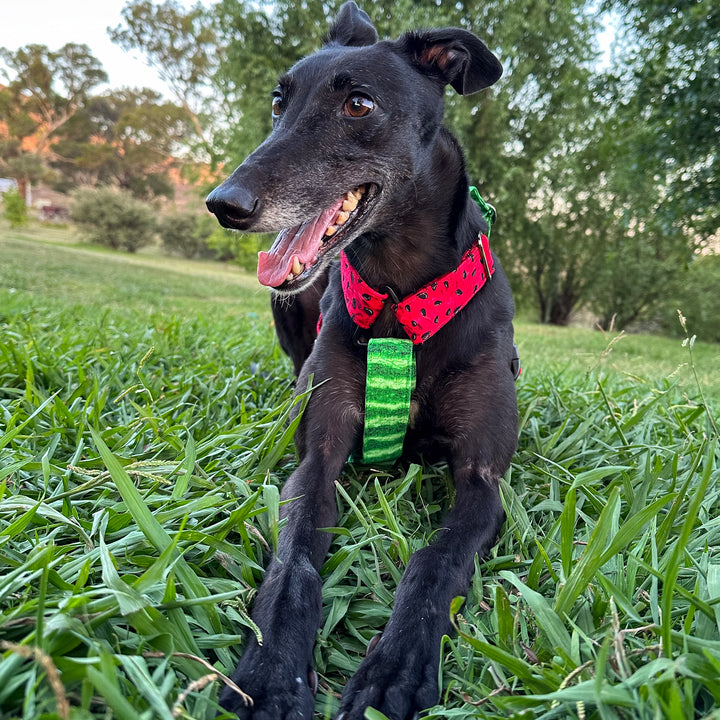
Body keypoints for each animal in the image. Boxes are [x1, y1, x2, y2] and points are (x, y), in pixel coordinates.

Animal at [205, 2, 516, 716]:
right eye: (279, 101)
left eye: (359, 103)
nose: (225, 204)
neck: (403, 301)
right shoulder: (319, 458)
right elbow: (294, 557)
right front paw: (270, 672)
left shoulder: (484, 483)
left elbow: (435, 561)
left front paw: (394, 666)